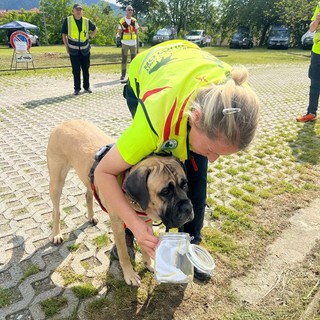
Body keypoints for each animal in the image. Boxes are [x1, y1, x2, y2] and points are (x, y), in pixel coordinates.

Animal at [46, 119, 194, 284]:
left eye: (185, 184)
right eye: (166, 192)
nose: (188, 208)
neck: (137, 203)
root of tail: (65, 122)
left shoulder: (144, 223)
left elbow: (144, 245)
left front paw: (149, 263)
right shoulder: (117, 225)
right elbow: (123, 253)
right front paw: (129, 274)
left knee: (88, 194)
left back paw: (91, 216)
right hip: (56, 181)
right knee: (56, 210)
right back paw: (56, 233)